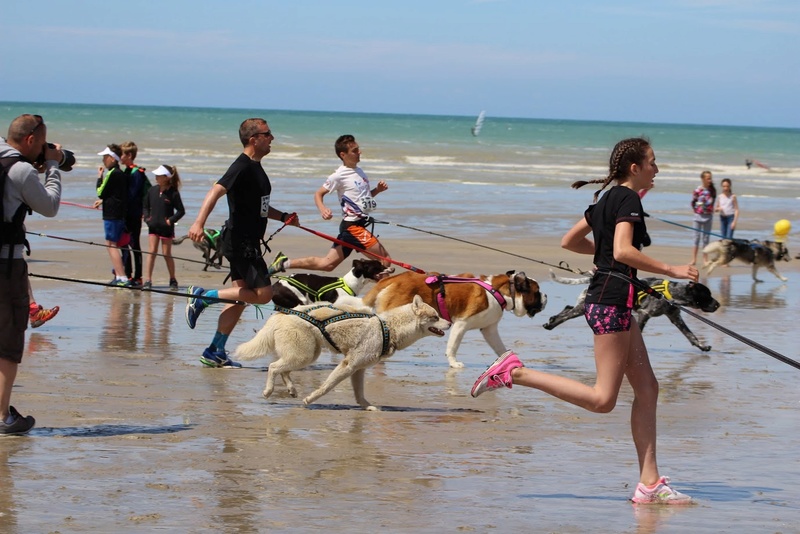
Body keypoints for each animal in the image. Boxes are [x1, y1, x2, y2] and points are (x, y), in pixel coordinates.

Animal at [360, 272, 544, 368]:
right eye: (537, 292)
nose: (546, 296)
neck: (498, 291)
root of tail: (393, 278)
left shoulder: (490, 330)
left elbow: (499, 347)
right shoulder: (461, 324)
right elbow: (453, 346)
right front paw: (454, 363)